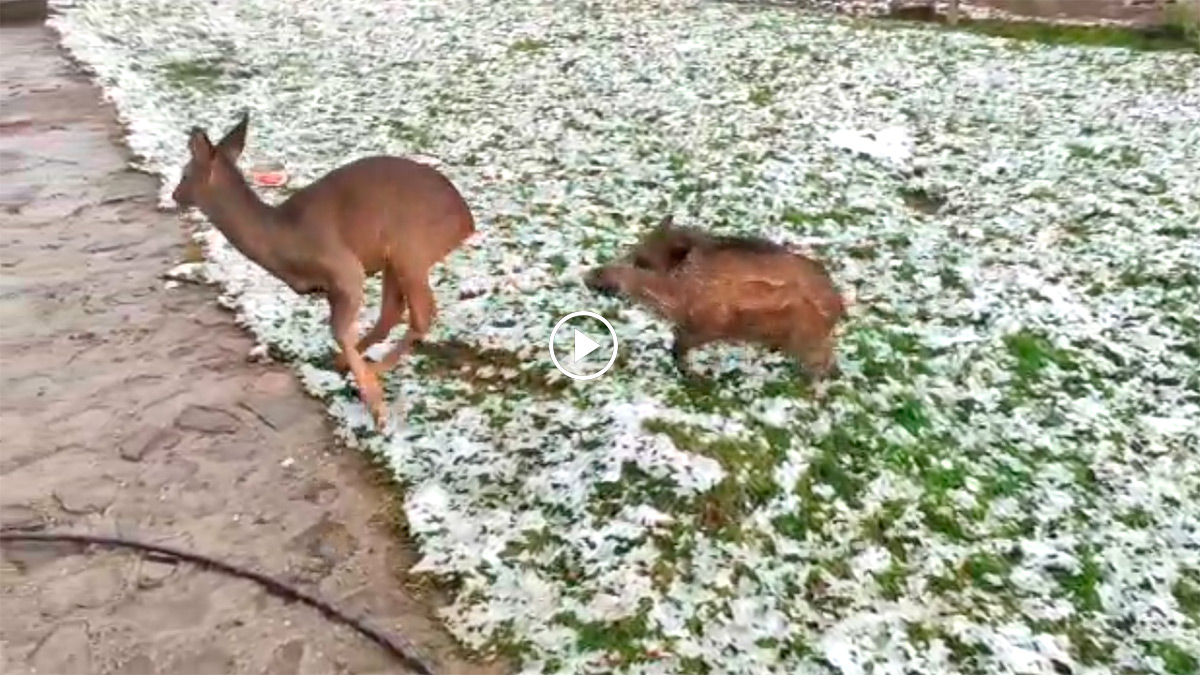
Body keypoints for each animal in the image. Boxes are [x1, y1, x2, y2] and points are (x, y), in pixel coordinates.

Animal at [172, 109, 477, 425]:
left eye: (185, 173)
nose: (174, 195)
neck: (282, 239)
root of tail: (467, 222)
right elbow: (345, 328)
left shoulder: (344, 266)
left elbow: (338, 329)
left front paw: (375, 404)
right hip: (395, 256)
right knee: (394, 311)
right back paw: (349, 364)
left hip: (411, 246)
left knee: (421, 314)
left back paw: (372, 377)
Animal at [585, 214, 849, 379]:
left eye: (642, 263)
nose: (588, 277)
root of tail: (839, 303)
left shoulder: (707, 326)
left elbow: (678, 346)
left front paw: (695, 378)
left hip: (808, 338)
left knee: (824, 361)